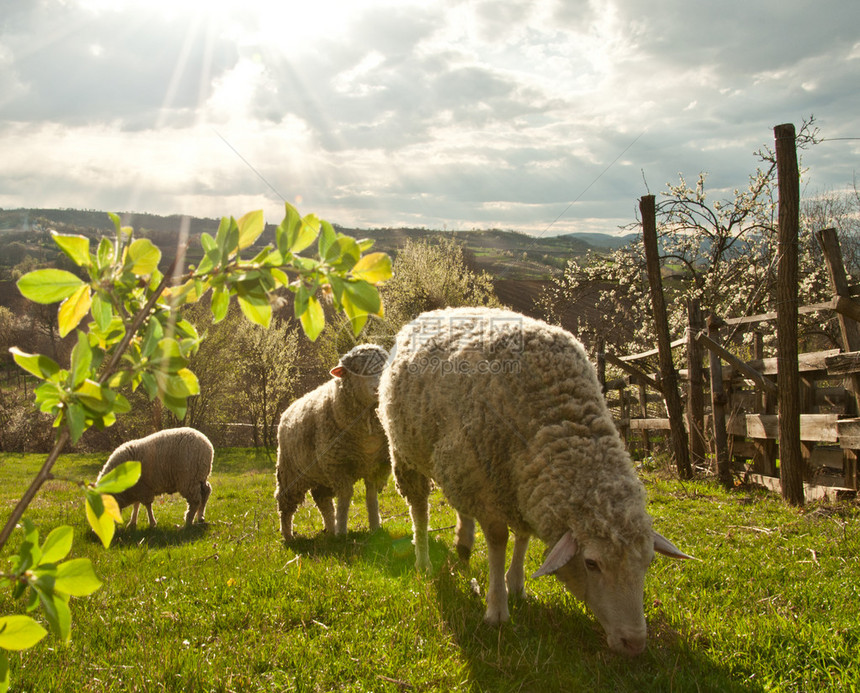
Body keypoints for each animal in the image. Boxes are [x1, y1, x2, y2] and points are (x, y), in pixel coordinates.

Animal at [276, 344, 390, 544]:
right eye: (357, 370)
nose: (378, 389)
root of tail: (287, 410)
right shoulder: (338, 465)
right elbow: (345, 497)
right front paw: (343, 532)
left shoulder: (374, 465)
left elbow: (371, 496)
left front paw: (375, 527)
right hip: (290, 472)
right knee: (286, 504)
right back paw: (288, 536)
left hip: (321, 474)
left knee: (323, 501)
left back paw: (330, 529)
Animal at [380, 306, 696, 656]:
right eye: (591, 563)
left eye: (649, 561)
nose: (634, 642)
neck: (559, 418)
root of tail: (433, 313)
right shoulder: (489, 482)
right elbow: (499, 540)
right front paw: (497, 608)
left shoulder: (518, 481)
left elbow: (523, 535)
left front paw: (516, 584)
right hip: (407, 454)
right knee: (419, 510)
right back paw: (423, 559)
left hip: (458, 465)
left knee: (460, 505)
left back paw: (463, 542)